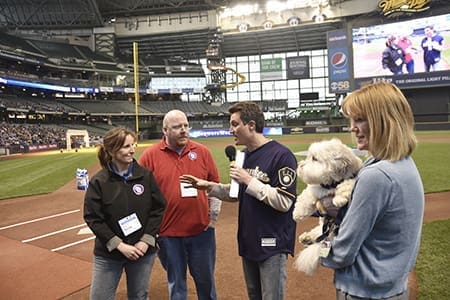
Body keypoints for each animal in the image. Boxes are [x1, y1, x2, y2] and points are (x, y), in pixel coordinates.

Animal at [292, 138, 362, 274]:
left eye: (314, 158)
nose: (300, 166)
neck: (331, 185)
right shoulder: (315, 189)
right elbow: (306, 198)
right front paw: (298, 213)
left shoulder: (351, 180)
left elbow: (348, 184)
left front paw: (339, 199)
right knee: (317, 232)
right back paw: (306, 237)